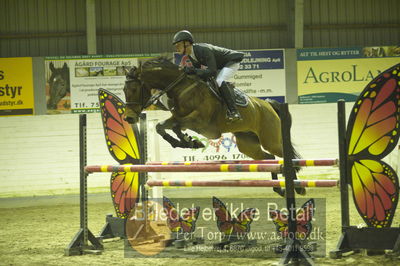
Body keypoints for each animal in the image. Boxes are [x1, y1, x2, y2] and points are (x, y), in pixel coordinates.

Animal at [123, 56, 304, 197]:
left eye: (134, 89)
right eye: (124, 90)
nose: (129, 118)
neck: (180, 88)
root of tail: (267, 104)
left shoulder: (202, 123)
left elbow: (175, 126)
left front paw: (189, 141)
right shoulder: (179, 118)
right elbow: (161, 126)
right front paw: (187, 142)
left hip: (270, 140)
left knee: (284, 155)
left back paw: (298, 188)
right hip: (248, 145)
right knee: (269, 158)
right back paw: (279, 189)